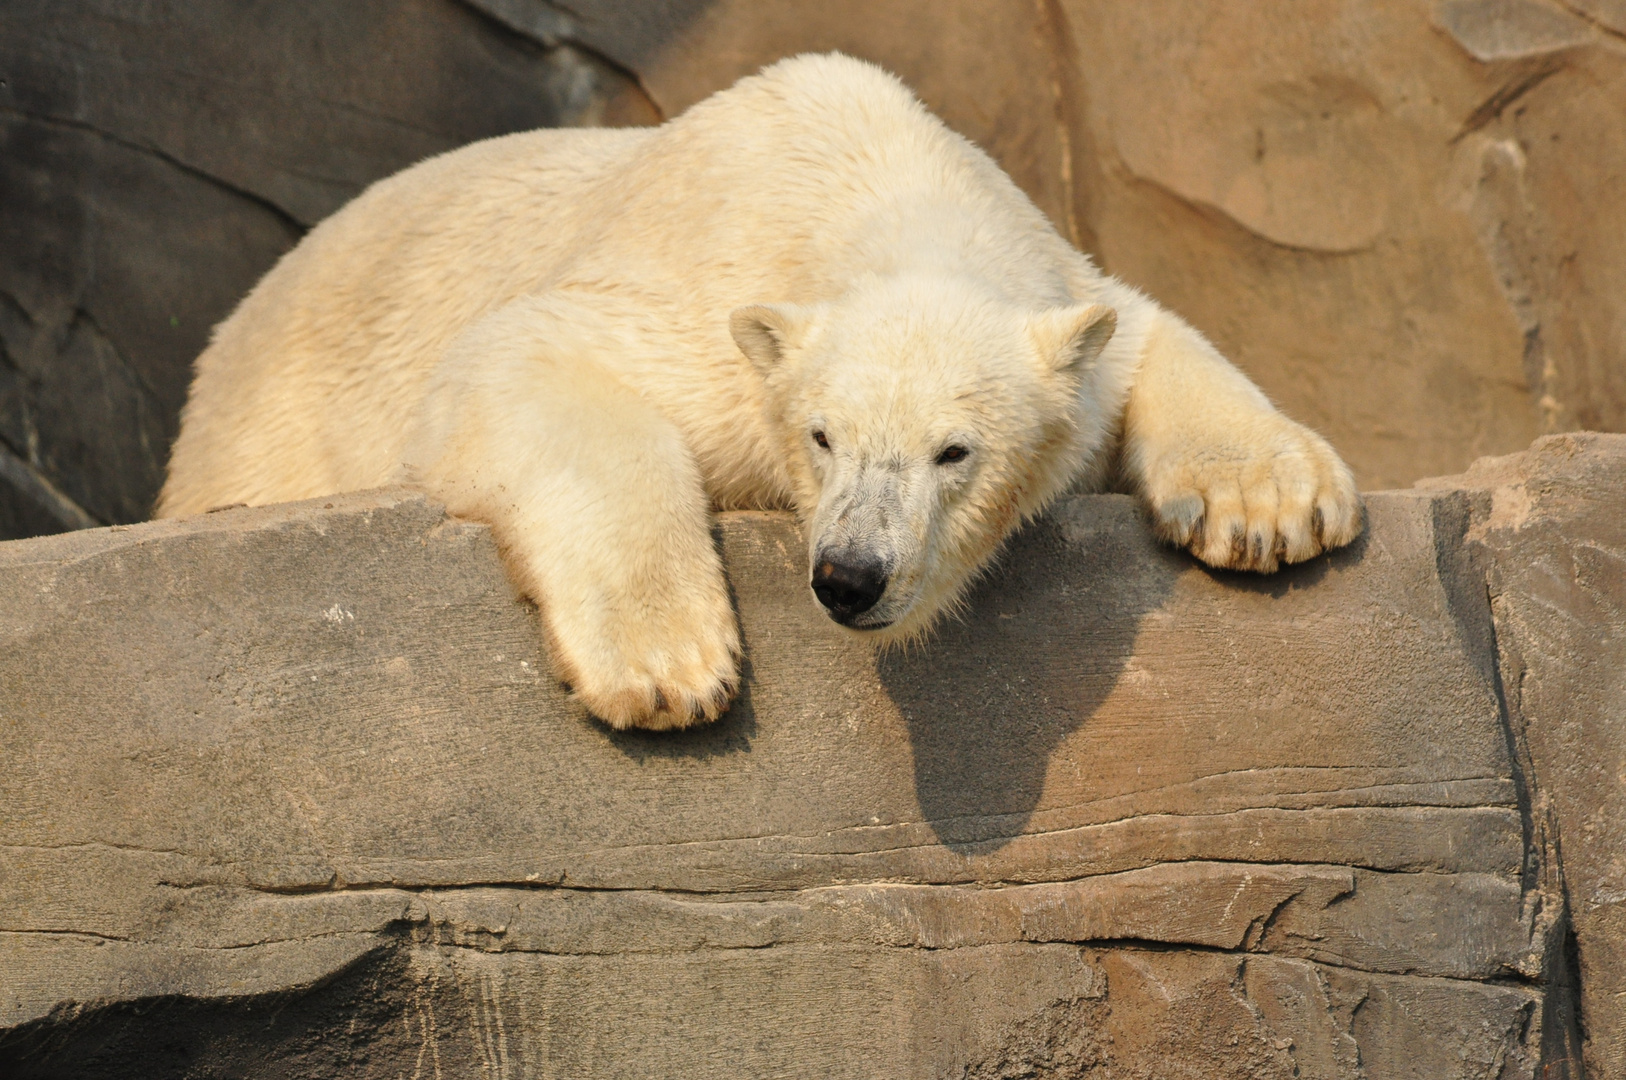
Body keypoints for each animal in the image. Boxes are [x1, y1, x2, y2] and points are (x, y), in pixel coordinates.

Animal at [161, 56, 1359, 735]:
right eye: (823, 437)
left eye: (954, 451)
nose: (849, 576)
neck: (875, 174)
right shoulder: (698, 302)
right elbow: (521, 357)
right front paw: (666, 666)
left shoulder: (1059, 284)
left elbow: (1142, 330)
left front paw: (1273, 508)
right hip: (263, 425)